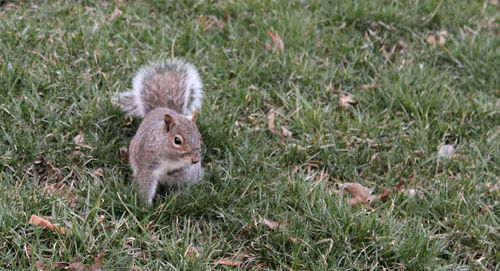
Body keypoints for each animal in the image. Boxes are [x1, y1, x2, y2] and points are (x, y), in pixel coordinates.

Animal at [114, 59, 203, 208]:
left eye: (199, 137)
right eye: (177, 140)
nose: (195, 160)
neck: (171, 158)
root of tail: (161, 108)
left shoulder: (188, 168)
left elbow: (183, 169)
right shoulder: (148, 166)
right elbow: (146, 186)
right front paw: (146, 207)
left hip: (190, 177)